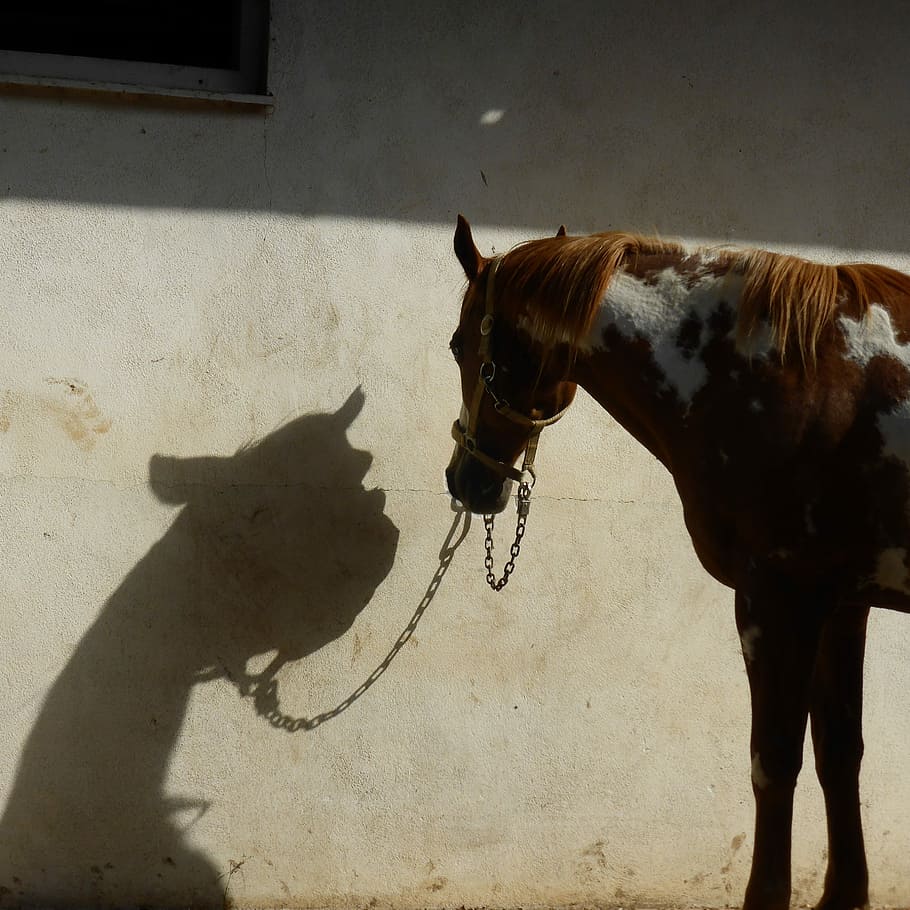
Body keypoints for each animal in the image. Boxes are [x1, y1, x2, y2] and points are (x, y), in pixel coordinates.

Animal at [445, 214, 910, 910]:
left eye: (456, 346)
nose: (465, 481)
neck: (790, 374)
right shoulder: (843, 604)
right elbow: (838, 753)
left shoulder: (779, 599)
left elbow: (774, 761)